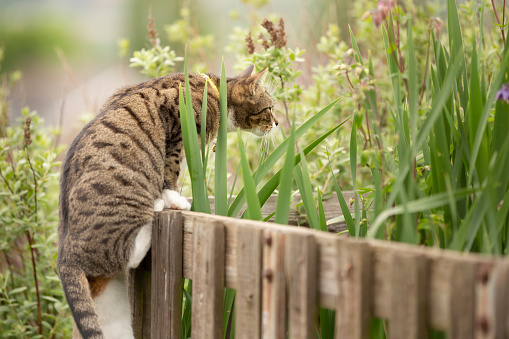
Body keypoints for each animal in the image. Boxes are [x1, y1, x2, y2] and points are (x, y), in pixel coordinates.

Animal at [57, 65, 278, 338]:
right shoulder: (178, 126)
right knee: (129, 253)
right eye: (269, 108)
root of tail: (66, 252)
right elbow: (169, 172)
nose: (277, 123)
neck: (214, 92)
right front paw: (174, 200)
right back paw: (153, 215)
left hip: (109, 301)